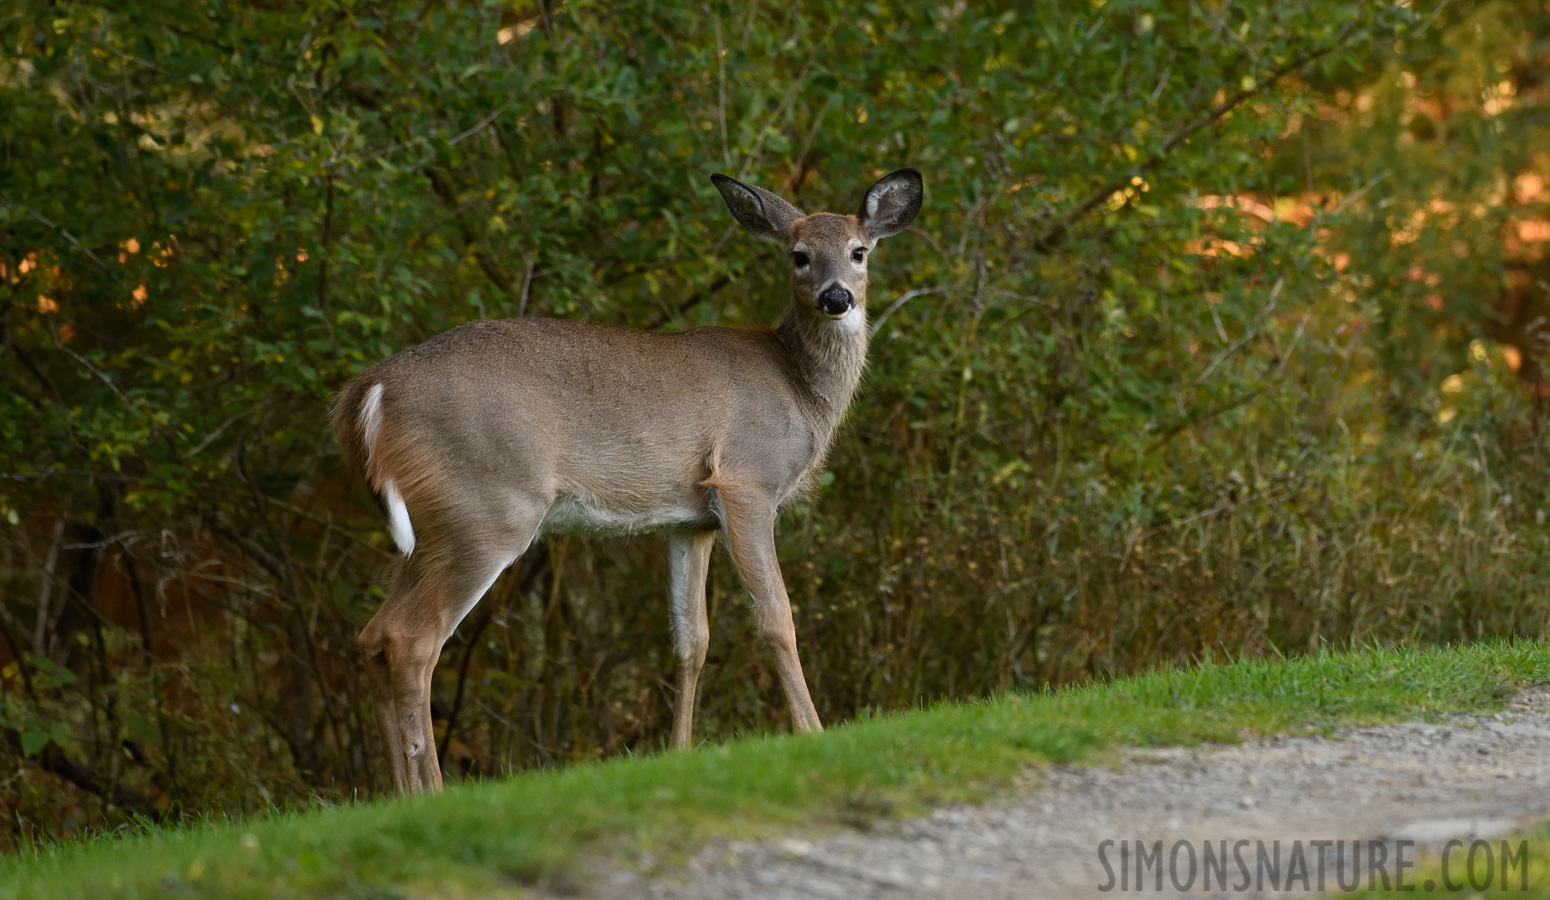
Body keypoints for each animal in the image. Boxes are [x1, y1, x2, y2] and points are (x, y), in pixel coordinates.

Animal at [331, 164, 917, 790]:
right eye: (799, 255)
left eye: (858, 251)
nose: (837, 297)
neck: (800, 389)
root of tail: (368, 392)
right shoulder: (747, 479)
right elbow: (776, 616)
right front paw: (812, 732)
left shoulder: (691, 520)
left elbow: (691, 640)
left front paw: (679, 751)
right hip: (489, 508)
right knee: (411, 639)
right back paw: (433, 791)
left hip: (436, 525)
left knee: (372, 635)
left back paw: (401, 793)